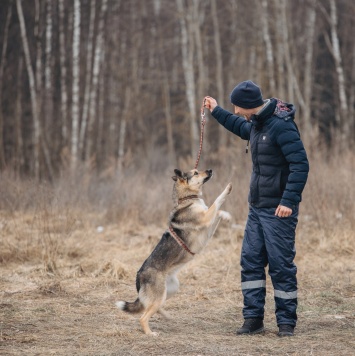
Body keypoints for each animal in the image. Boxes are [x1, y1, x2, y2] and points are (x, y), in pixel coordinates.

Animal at [117, 168, 234, 336]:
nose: (210, 170)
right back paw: (150, 333)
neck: (187, 199)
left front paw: (226, 216)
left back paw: (166, 315)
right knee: (143, 316)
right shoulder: (205, 219)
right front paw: (227, 189)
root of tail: (139, 275)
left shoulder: (208, 225)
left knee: (150, 307)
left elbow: (218, 212)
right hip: (161, 294)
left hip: (170, 290)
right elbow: (217, 202)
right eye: (196, 173)